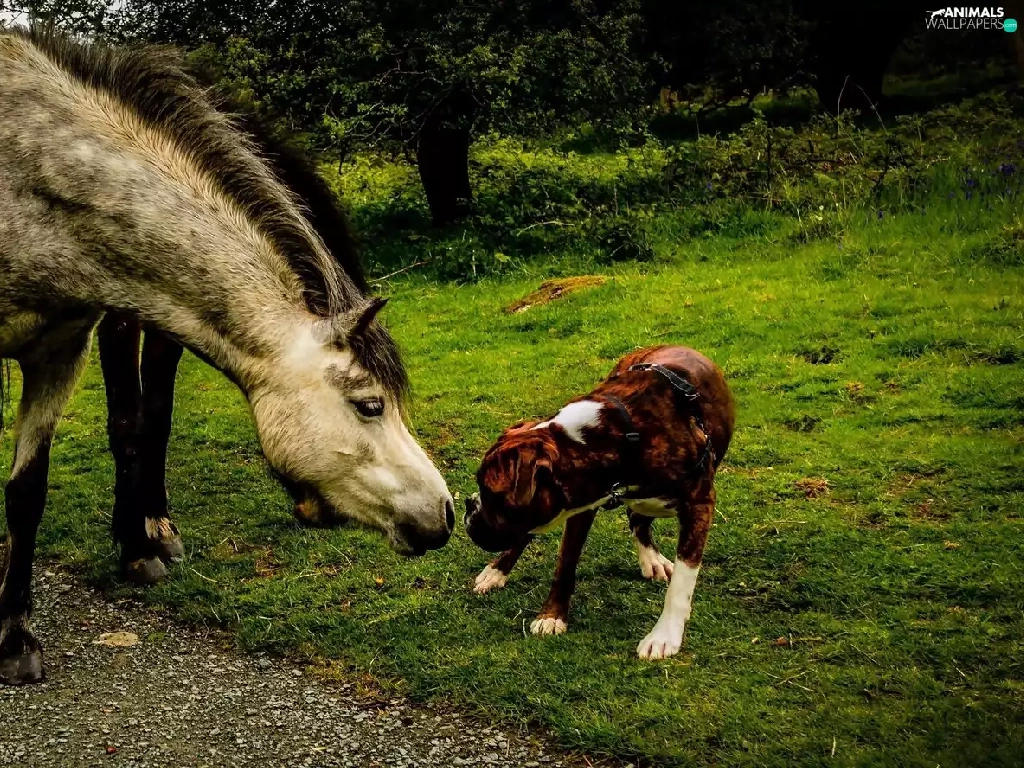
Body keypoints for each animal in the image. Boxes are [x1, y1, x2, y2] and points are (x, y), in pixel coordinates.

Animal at [464, 345, 734, 659]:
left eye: (490, 492)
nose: (469, 505)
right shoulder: (581, 503)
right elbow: (565, 561)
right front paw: (552, 615)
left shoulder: (699, 505)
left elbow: (682, 580)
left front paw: (665, 634)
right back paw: (496, 571)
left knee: (638, 520)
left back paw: (651, 558)